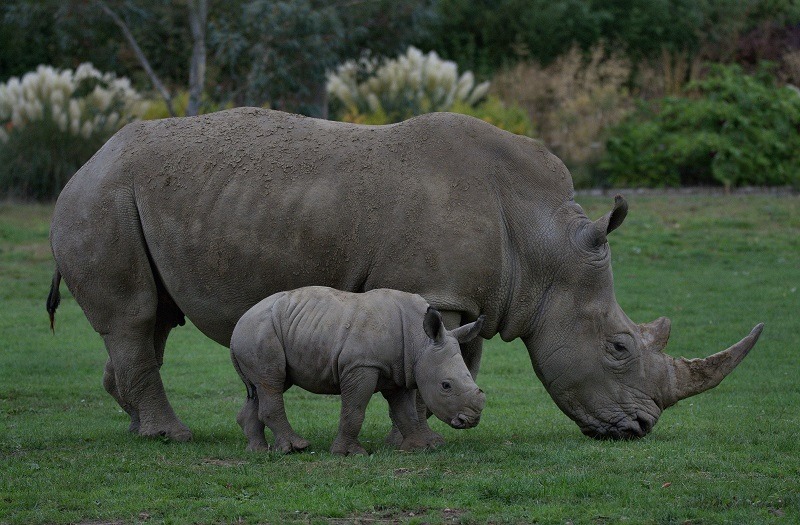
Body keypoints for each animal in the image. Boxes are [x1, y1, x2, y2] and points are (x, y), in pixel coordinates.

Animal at [230, 286, 486, 455]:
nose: (471, 420)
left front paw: (420, 447)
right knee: (272, 381)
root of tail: (239, 324)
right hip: (259, 331)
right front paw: (348, 454)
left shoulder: (400, 371)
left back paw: (258, 450)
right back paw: (296, 448)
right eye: (446, 385)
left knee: (264, 386)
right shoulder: (361, 365)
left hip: (266, 331)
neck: (420, 341)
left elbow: (406, 412)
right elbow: (354, 410)